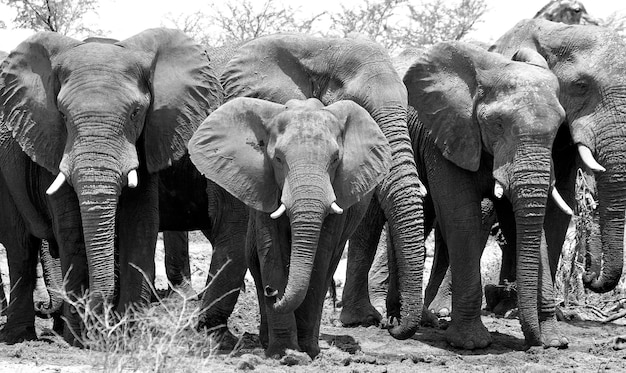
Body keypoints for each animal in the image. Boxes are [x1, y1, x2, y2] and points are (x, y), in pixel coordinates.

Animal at [0, 29, 222, 342]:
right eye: (63, 115)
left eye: (135, 113)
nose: (99, 319)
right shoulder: (51, 143)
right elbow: (71, 228)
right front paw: (79, 338)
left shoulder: (149, 138)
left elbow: (140, 223)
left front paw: (127, 336)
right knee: (20, 248)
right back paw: (21, 337)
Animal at [188, 96, 390, 358]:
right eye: (278, 159)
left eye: (336, 160)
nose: (272, 292)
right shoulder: (264, 185)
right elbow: (271, 251)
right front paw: (285, 354)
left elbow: (320, 259)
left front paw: (305, 352)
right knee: (255, 261)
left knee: (329, 265)